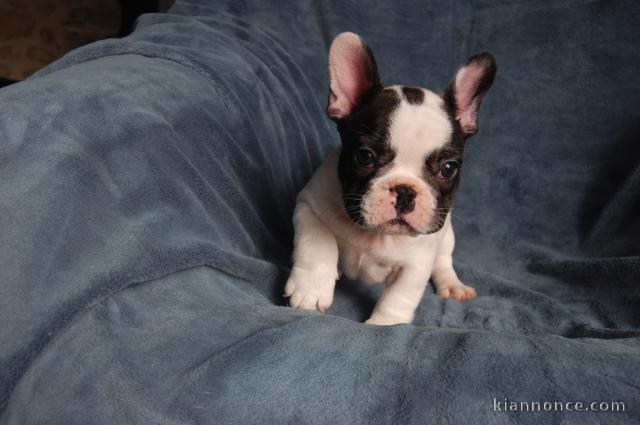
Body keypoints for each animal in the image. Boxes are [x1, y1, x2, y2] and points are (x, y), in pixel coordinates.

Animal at [282, 32, 498, 324]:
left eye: (448, 168)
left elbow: (400, 295)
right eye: (364, 156)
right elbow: (318, 242)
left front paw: (385, 324)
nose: (406, 190)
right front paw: (311, 289)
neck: (374, 235)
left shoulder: (418, 261)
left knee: (444, 261)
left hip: (447, 235)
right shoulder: (308, 206)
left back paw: (453, 286)